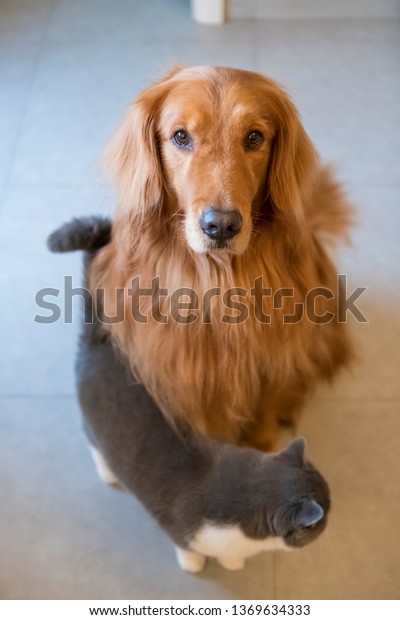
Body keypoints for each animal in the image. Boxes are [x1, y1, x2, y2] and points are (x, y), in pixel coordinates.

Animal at [48, 217, 332, 572]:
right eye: (323, 515)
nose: (332, 511)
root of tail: (103, 342)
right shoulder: (179, 529)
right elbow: (189, 550)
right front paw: (198, 567)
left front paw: (233, 563)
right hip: (93, 425)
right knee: (94, 444)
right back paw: (108, 474)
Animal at [90, 65, 354, 448]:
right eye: (181, 136)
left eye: (254, 137)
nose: (221, 226)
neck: (217, 283)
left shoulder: (271, 368)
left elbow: (264, 421)